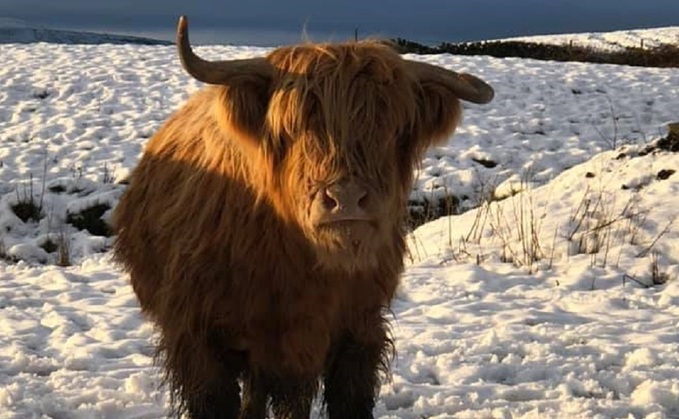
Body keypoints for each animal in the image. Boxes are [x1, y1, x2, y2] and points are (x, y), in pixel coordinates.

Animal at [113, 15, 494, 419]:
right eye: (294, 128)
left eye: (391, 129)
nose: (346, 198)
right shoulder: (199, 341)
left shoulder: (357, 332)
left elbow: (344, 401)